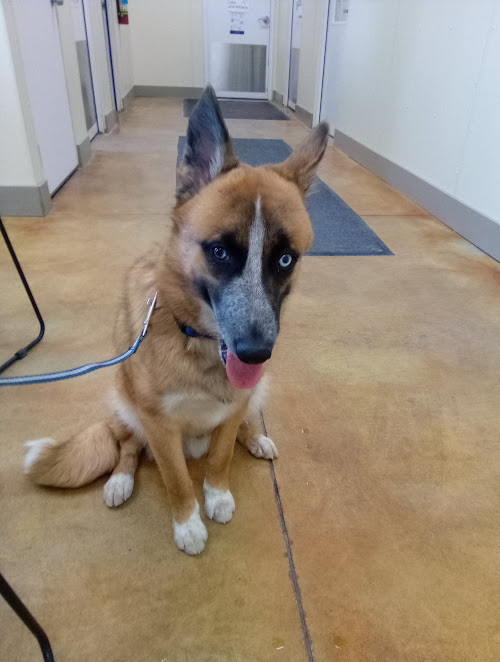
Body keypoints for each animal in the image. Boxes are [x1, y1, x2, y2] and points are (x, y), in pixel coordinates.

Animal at [23, 87, 330, 556]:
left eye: (284, 259)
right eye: (219, 251)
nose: (256, 354)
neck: (198, 340)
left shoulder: (234, 405)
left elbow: (221, 456)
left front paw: (217, 494)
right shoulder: (159, 428)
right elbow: (176, 479)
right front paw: (187, 522)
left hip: (254, 396)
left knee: (241, 427)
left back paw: (255, 438)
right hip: (125, 407)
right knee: (126, 446)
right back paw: (120, 479)